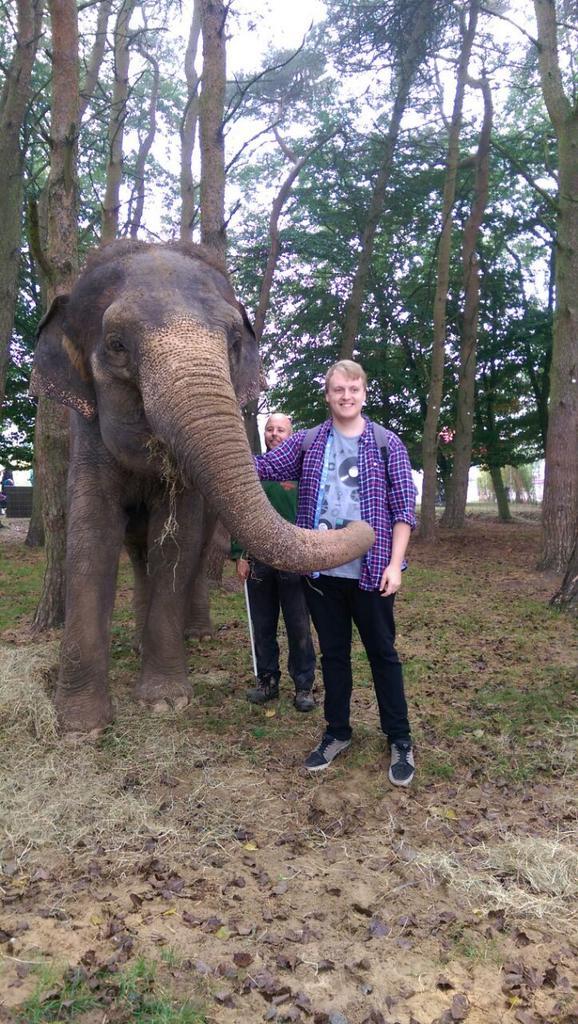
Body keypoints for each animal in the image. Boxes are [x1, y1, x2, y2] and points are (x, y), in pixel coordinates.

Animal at [30, 239, 374, 734]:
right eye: (116, 345)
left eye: (233, 343)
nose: (360, 525)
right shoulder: (86, 437)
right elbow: (91, 535)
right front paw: (81, 727)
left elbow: (178, 542)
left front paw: (165, 703)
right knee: (138, 553)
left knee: (186, 552)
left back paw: (194, 635)